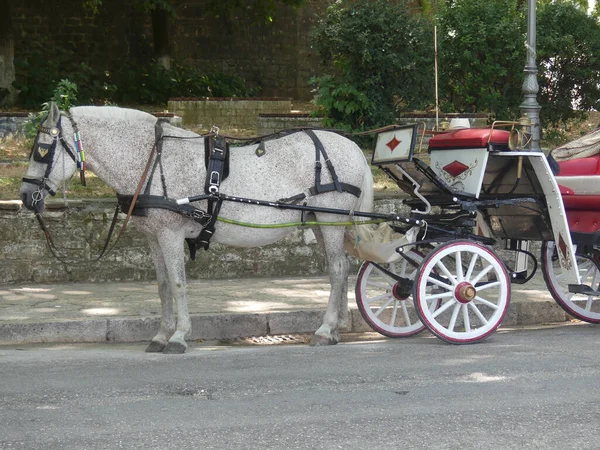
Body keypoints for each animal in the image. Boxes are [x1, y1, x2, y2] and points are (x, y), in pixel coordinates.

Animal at [18, 103, 372, 354]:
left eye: (42, 150)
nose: (24, 196)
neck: (152, 161)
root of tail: (352, 146)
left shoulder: (170, 233)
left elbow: (178, 284)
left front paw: (178, 336)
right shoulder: (153, 236)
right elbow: (162, 285)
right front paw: (161, 335)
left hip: (331, 220)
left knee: (338, 270)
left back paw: (325, 329)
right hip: (320, 221)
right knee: (339, 268)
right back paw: (337, 327)